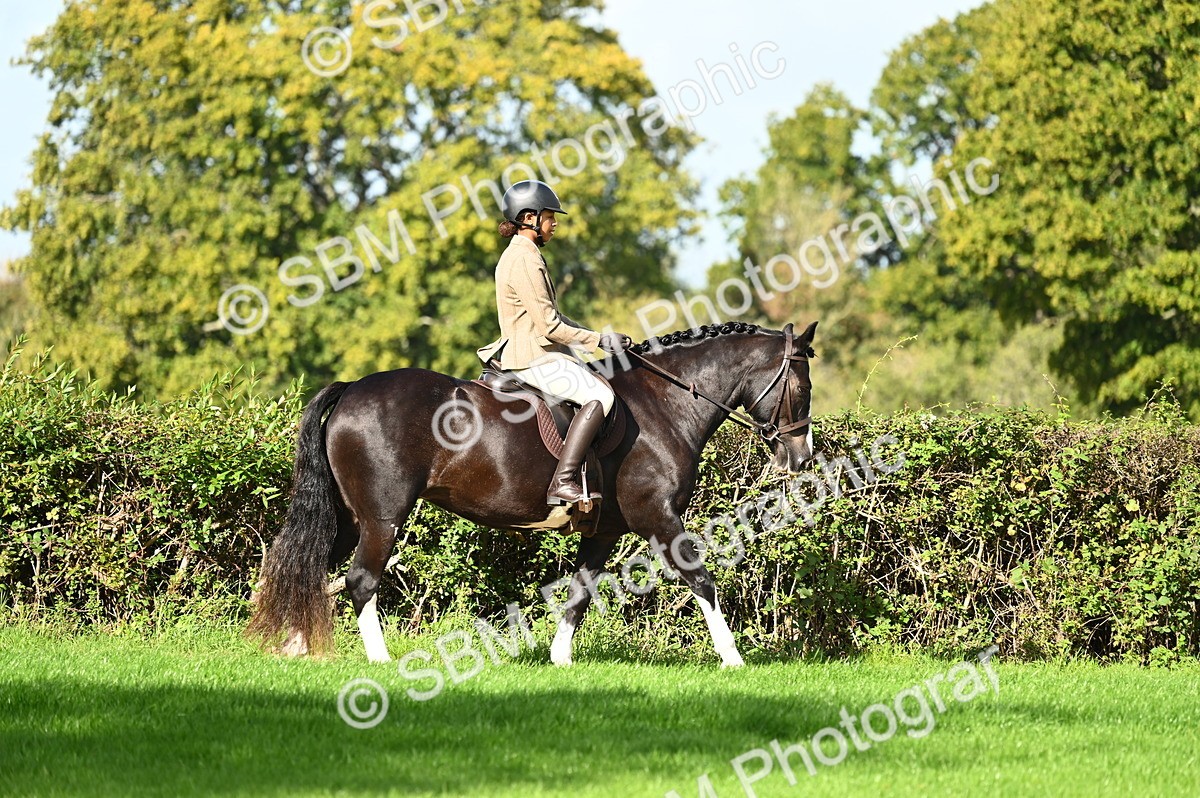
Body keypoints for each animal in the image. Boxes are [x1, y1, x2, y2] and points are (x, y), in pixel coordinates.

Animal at [247, 320, 818, 667]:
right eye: (803, 387)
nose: (802, 460)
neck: (665, 403)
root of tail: (351, 389)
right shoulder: (657, 516)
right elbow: (701, 579)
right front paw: (733, 659)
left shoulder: (605, 530)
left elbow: (580, 592)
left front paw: (559, 659)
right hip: (383, 517)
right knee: (360, 579)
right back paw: (379, 662)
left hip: (349, 516)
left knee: (306, 563)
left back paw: (294, 646)